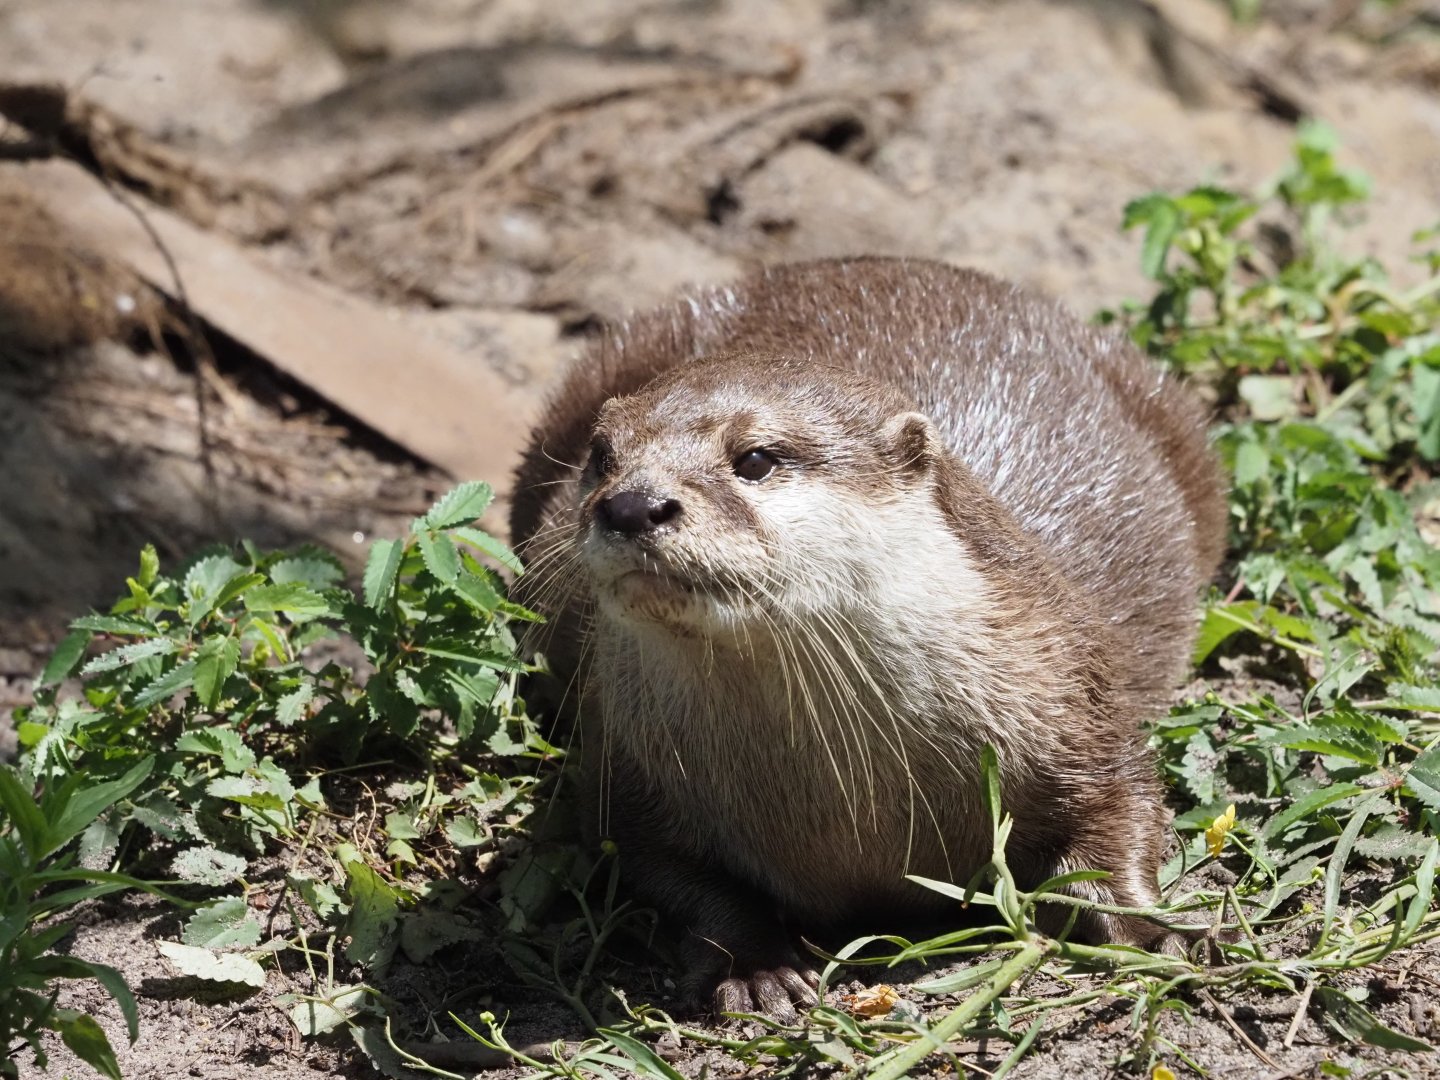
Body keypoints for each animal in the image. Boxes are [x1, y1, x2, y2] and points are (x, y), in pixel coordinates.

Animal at [509, 257, 1225, 1020]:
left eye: (755, 457)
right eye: (601, 456)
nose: (631, 503)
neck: (844, 810)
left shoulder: (1075, 703)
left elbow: (1124, 814)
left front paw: (1148, 930)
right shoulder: (626, 774)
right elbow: (669, 874)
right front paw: (757, 965)